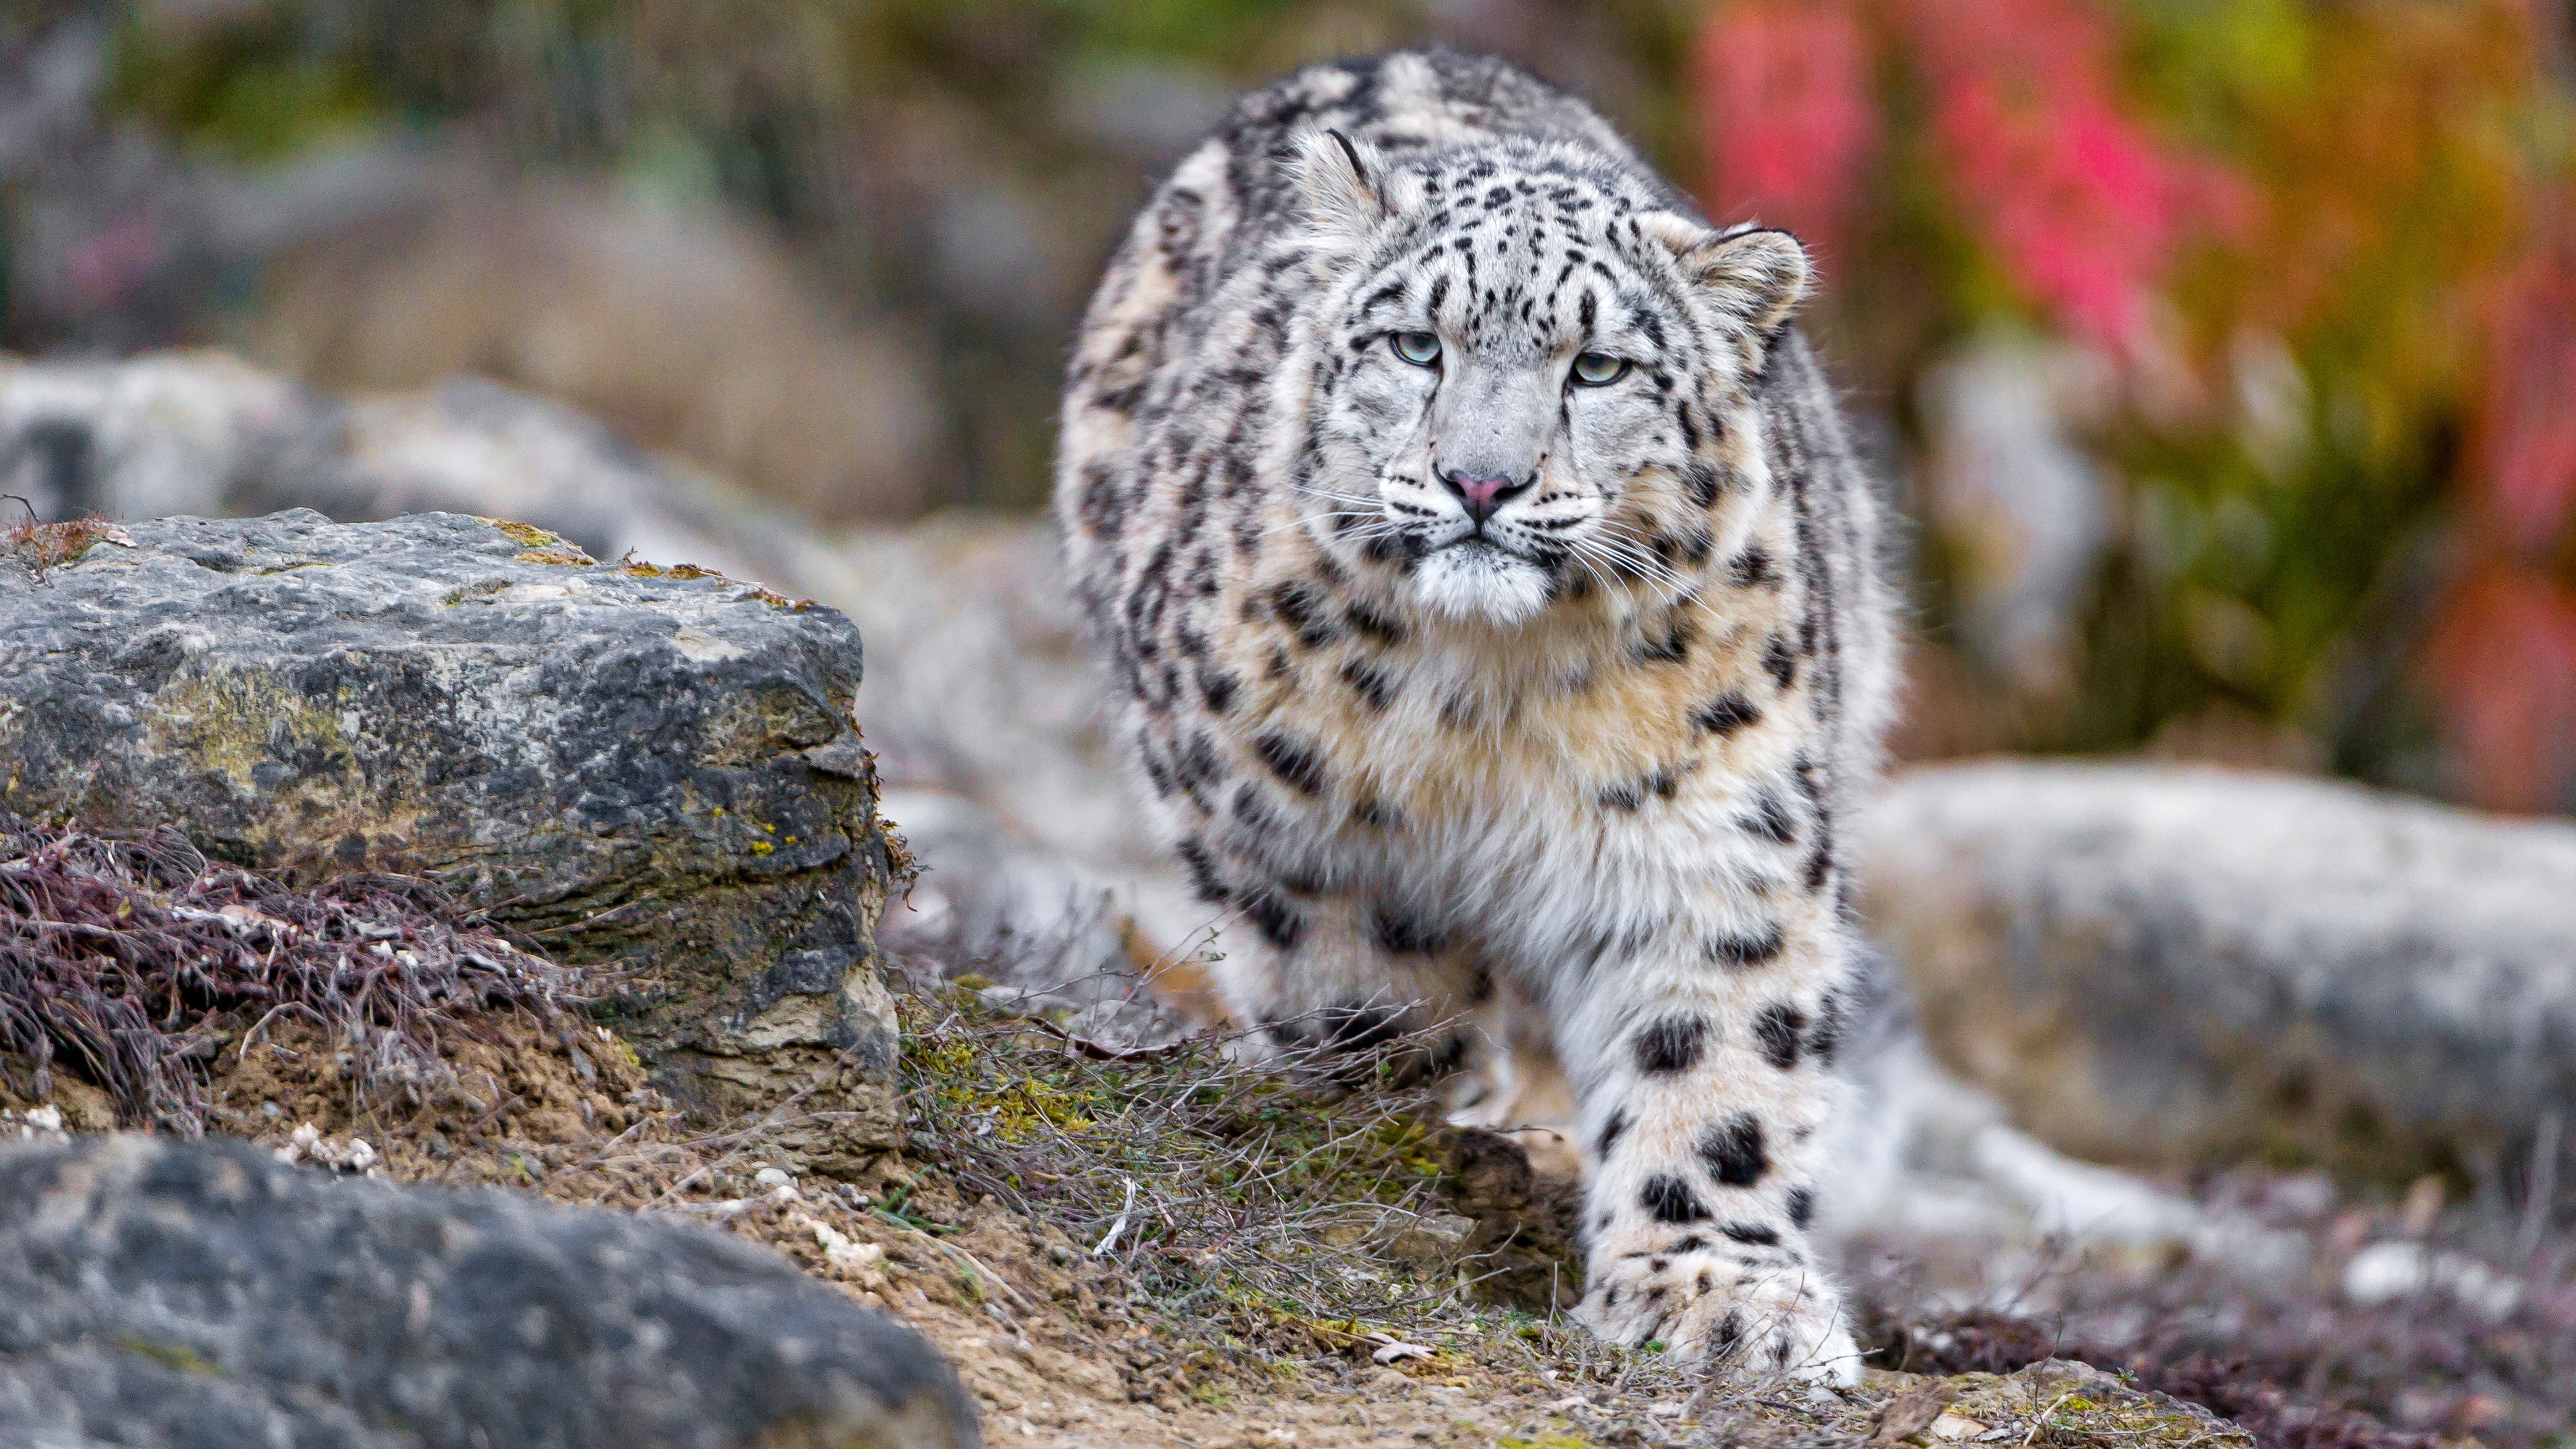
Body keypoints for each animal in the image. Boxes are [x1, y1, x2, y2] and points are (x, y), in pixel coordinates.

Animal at [1055, 49, 1898, 1384]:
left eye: (1596, 369)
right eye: (1414, 344)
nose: (1480, 480)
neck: (1490, 701)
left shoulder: (1715, 835)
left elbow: (1713, 1054)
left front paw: (1714, 1287)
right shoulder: (1279, 812)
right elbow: (1367, 994)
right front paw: (1409, 1140)